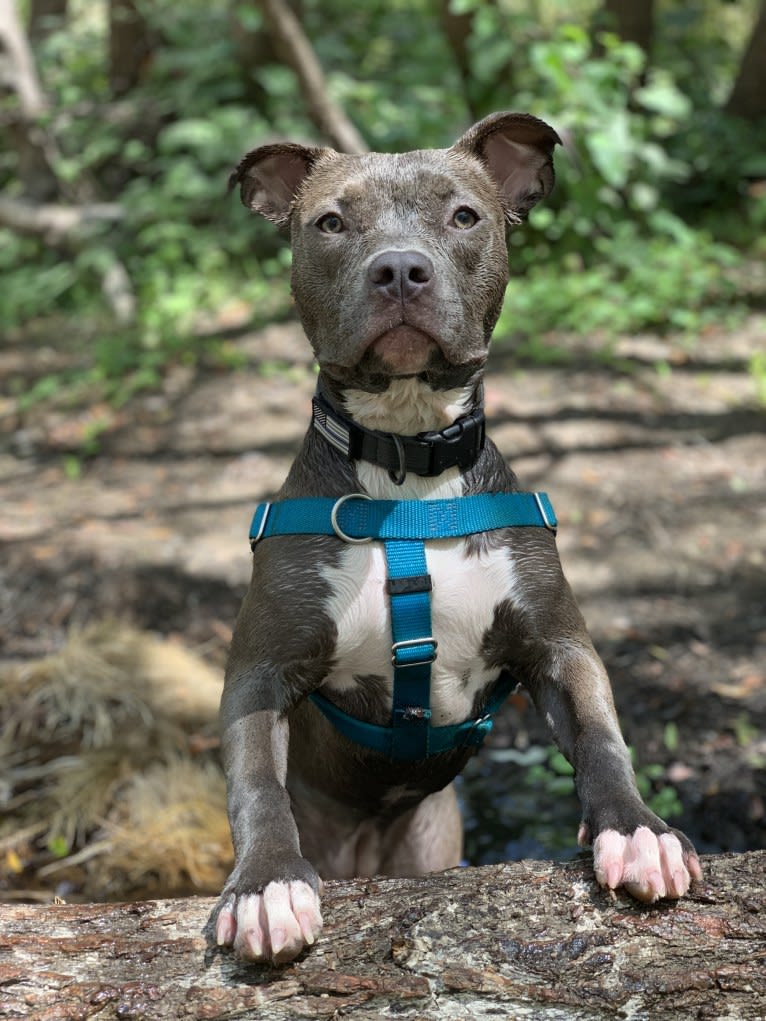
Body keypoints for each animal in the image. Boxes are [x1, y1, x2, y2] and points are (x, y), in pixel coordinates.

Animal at [210, 113, 702, 963]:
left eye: (464, 216)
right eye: (330, 223)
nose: (400, 268)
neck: (408, 467)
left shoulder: (557, 643)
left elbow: (601, 736)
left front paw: (638, 831)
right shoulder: (260, 671)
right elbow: (258, 783)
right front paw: (266, 883)